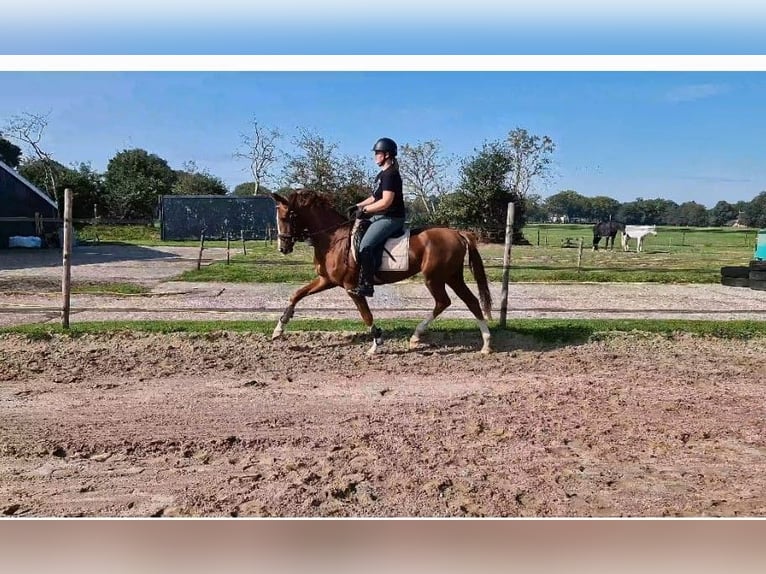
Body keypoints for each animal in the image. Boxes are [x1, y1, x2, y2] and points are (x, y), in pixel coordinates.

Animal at [272, 189, 496, 356]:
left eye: (286, 217)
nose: (283, 248)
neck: (333, 237)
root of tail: (458, 233)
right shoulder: (326, 280)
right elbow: (296, 295)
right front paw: (279, 329)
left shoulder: (351, 288)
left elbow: (366, 315)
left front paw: (376, 344)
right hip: (452, 276)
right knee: (470, 301)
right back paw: (485, 344)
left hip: (435, 278)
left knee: (444, 302)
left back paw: (419, 336)